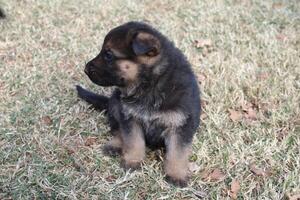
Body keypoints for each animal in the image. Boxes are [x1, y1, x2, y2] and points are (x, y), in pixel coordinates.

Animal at [76, 21, 200, 188]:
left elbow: (177, 153)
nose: (85, 69)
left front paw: (176, 175)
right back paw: (115, 145)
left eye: (108, 55)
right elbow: (133, 141)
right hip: (115, 103)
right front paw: (133, 161)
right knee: (117, 130)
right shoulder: (130, 117)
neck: (150, 85)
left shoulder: (181, 126)